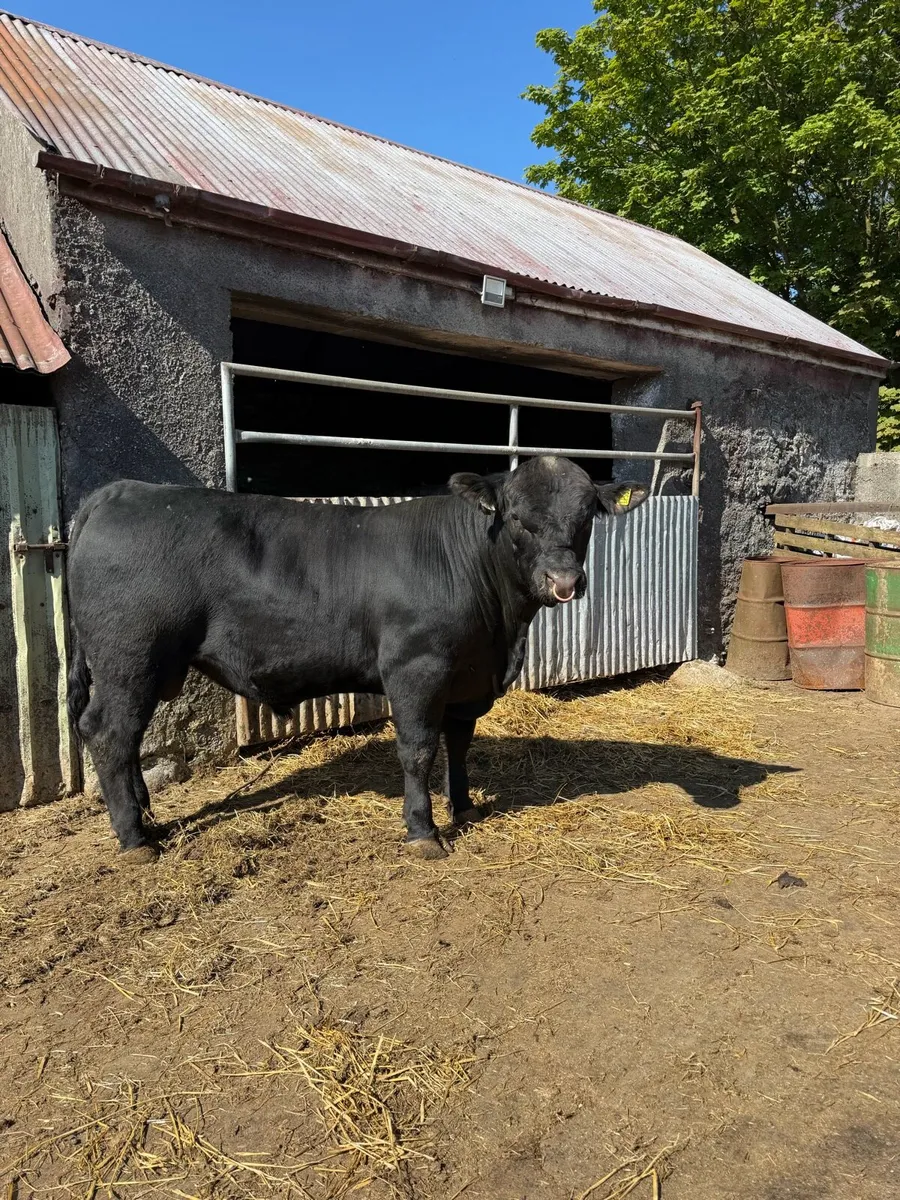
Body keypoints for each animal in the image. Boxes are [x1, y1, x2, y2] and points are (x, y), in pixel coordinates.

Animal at [66, 456, 648, 863]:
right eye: (519, 519)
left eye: (586, 518)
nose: (564, 581)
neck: (502, 631)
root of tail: (121, 491)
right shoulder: (415, 669)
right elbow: (417, 750)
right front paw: (424, 830)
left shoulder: (468, 678)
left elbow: (459, 745)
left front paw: (463, 807)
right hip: (129, 658)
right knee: (107, 732)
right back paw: (135, 839)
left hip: (145, 666)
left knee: (128, 740)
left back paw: (148, 820)